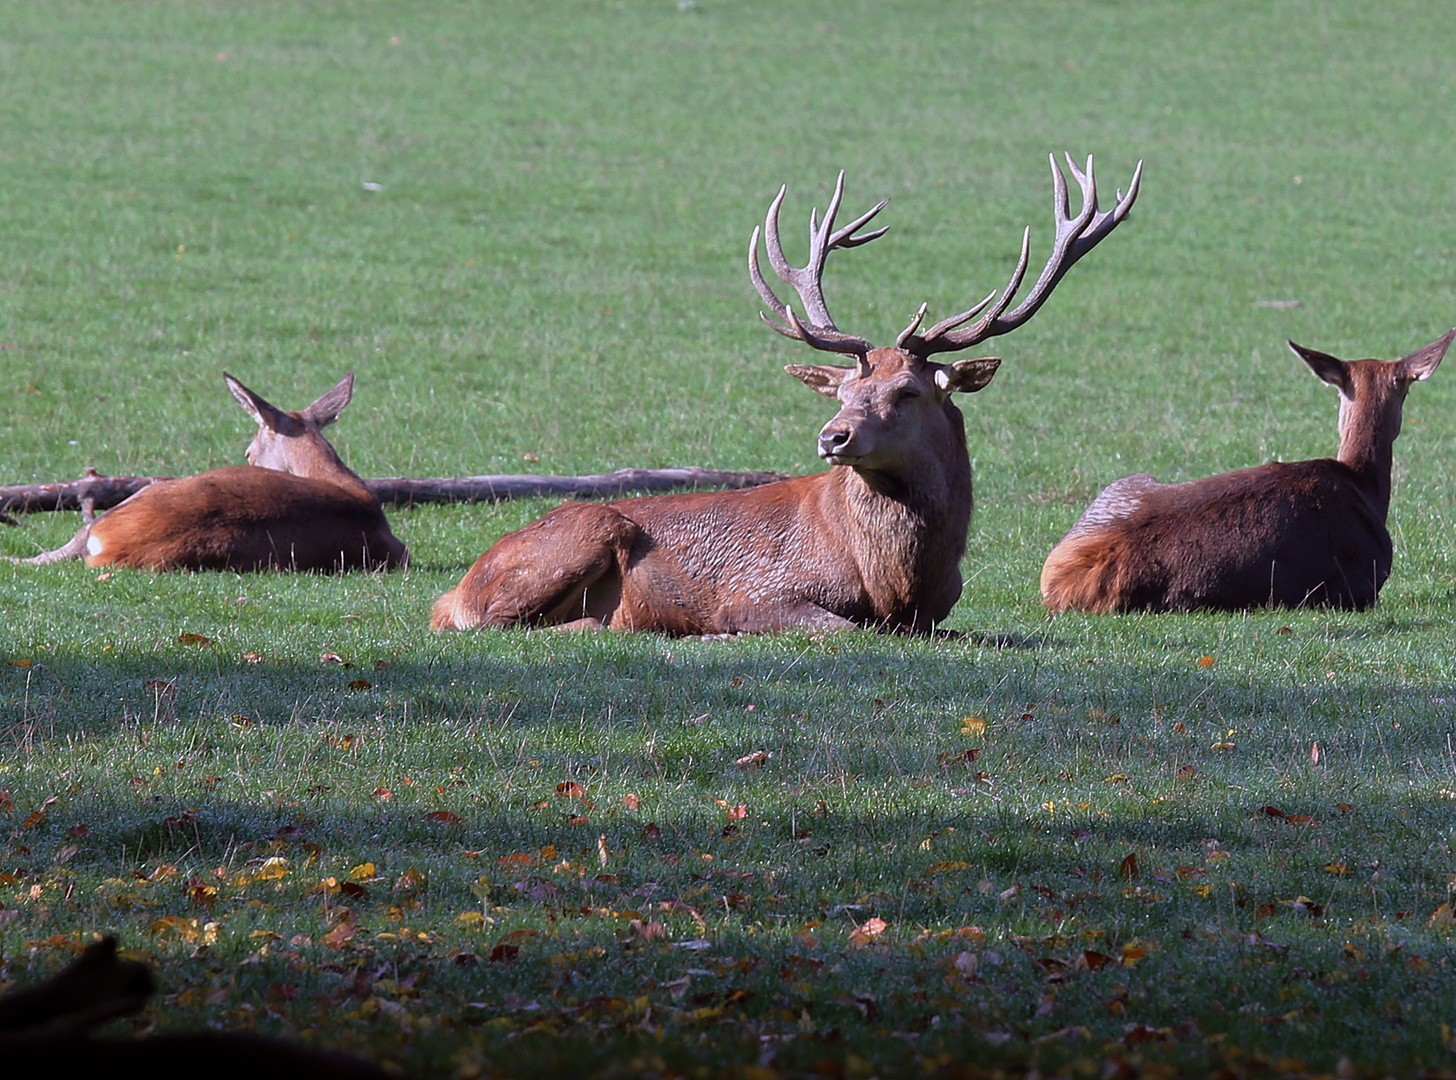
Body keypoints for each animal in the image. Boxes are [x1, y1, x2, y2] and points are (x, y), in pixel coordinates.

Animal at [430, 156, 1135, 637]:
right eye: (845, 388)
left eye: (908, 391)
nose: (833, 435)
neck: (896, 580)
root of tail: (453, 590)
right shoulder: (759, 592)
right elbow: (840, 628)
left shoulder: (939, 612)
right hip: (584, 532)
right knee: (502, 621)